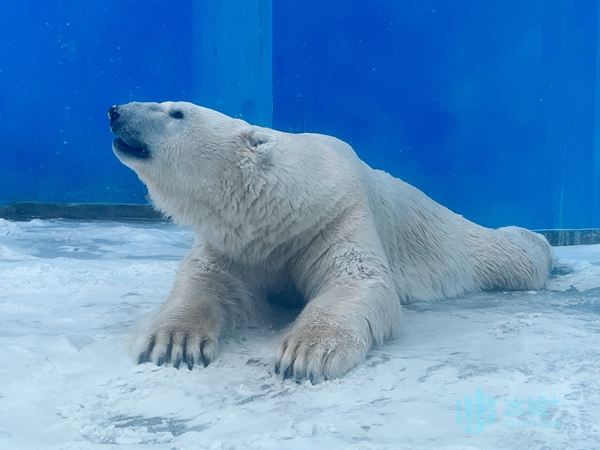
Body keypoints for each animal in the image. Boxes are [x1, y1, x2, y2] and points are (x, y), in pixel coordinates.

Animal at [106, 102, 552, 384]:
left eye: (176, 112)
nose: (115, 111)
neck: (280, 208)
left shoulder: (334, 216)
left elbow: (356, 280)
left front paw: (304, 355)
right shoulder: (238, 241)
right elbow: (206, 281)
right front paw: (174, 344)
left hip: (449, 239)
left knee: (509, 256)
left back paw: (543, 245)